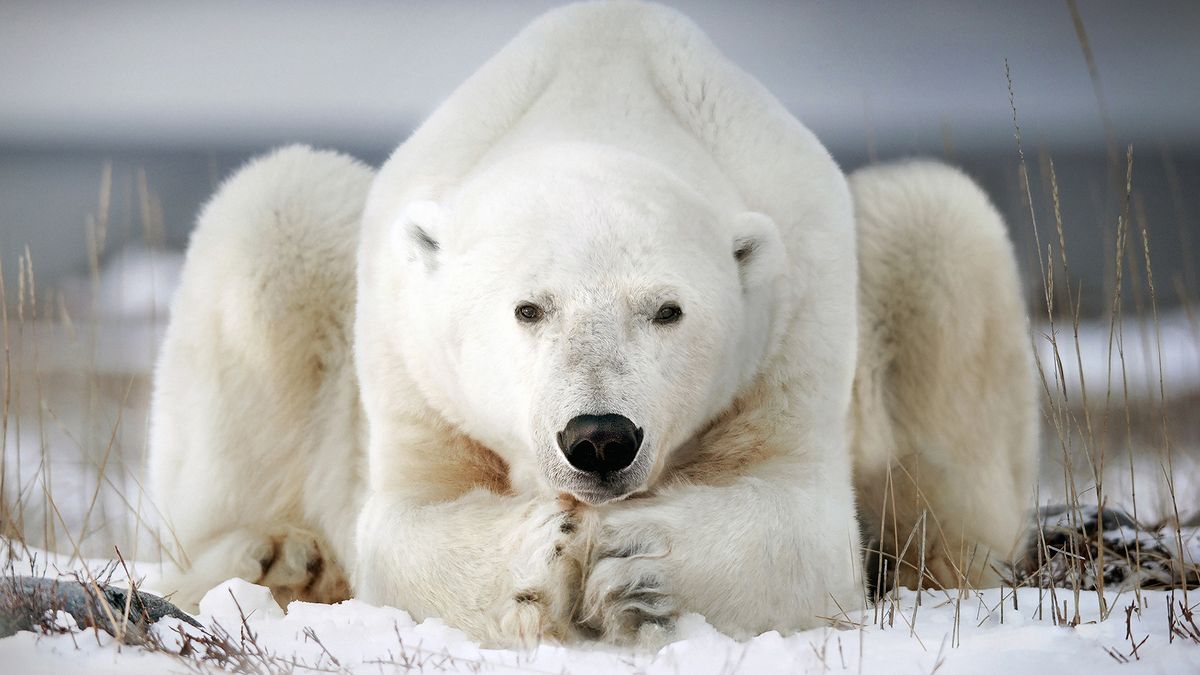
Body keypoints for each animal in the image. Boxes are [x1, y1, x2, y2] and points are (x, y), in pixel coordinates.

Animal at [147, 1, 1032, 648]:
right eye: (528, 308)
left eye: (668, 309)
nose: (599, 437)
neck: (603, 97)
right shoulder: (412, 356)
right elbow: (405, 520)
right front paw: (542, 554)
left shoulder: (794, 314)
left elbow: (802, 520)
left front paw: (633, 563)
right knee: (273, 213)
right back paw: (277, 556)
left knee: (938, 229)